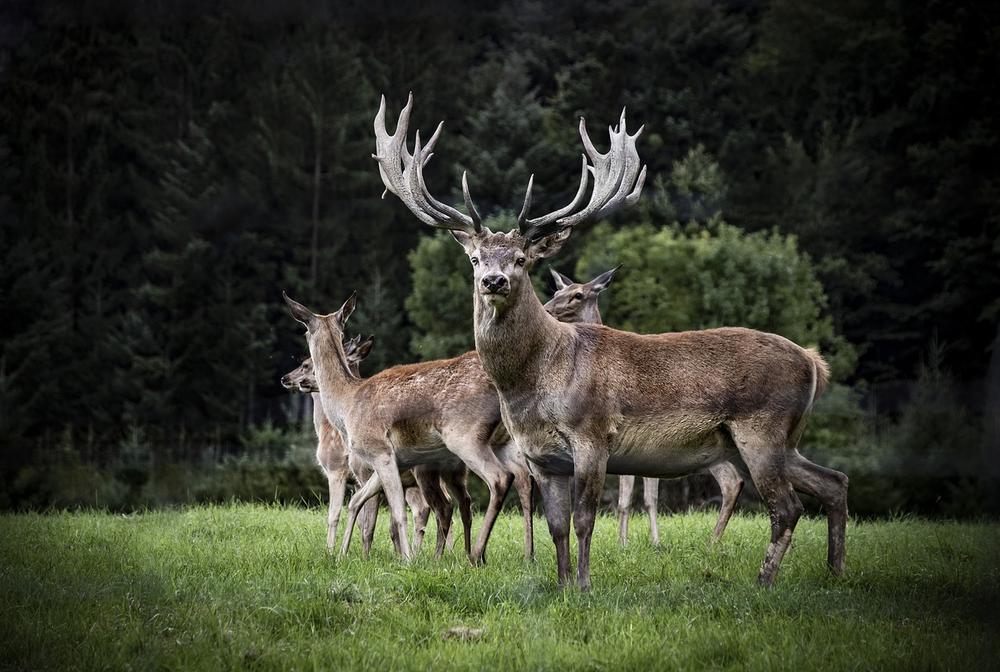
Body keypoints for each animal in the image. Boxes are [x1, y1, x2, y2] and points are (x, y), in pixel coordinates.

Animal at [544, 268, 748, 544]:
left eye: (578, 295)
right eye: (557, 291)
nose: (547, 308)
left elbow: (638, 498)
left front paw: (637, 542)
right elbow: (633, 498)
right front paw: (632, 540)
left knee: (732, 480)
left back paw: (713, 541)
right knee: (734, 479)